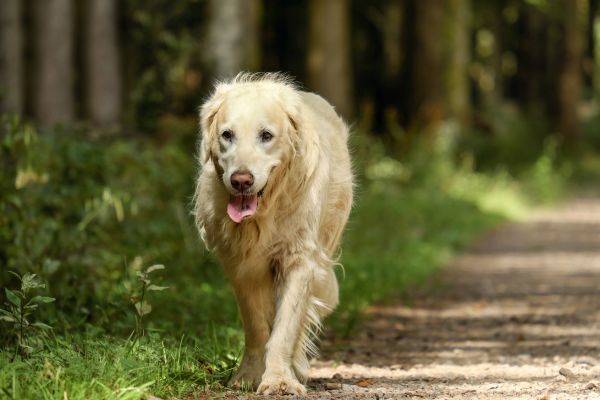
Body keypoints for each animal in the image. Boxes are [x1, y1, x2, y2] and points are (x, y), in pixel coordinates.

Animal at [193, 72, 352, 394]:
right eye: (227, 135)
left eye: (266, 135)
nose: (241, 180)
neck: (264, 213)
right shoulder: (240, 265)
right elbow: (256, 325)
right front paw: (250, 375)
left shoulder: (300, 259)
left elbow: (286, 327)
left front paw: (280, 379)